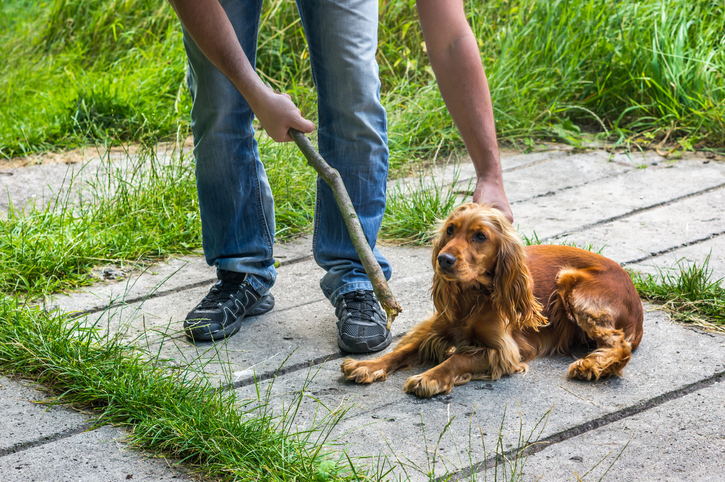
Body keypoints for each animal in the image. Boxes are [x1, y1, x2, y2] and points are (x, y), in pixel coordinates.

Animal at [342, 201, 640, 398]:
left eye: (480, 236)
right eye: (450, 230)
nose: (443, 259)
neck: (472, 295)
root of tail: (636, 299)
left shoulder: (504, 350)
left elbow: (458, 358)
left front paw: (429, 377)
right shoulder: (436, 330)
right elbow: (403, 350)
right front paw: (367, 365)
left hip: (572, 286)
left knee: (620, 345)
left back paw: (591, 365)